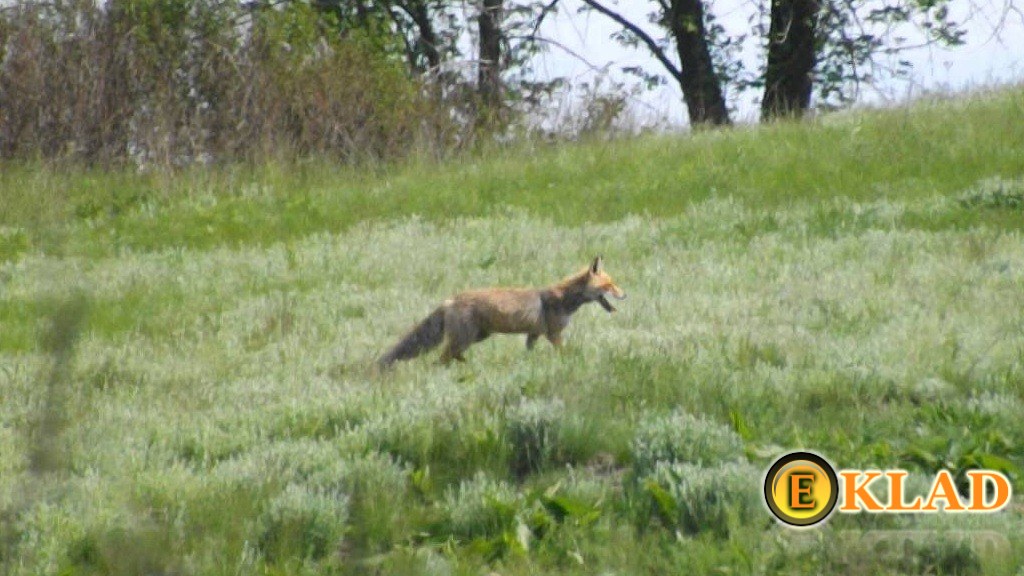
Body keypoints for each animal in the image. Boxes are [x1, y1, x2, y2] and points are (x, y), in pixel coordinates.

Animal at [378, 256, 622, 366]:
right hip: (465, 338)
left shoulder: (534, 333)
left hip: (477, 336)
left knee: (452, 356)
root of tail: (450, 299)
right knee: (442, 358)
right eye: (610, 285)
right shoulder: (553, 334)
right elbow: (564, 352)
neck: (565, 299)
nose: (624, 295)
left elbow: (529, 351)